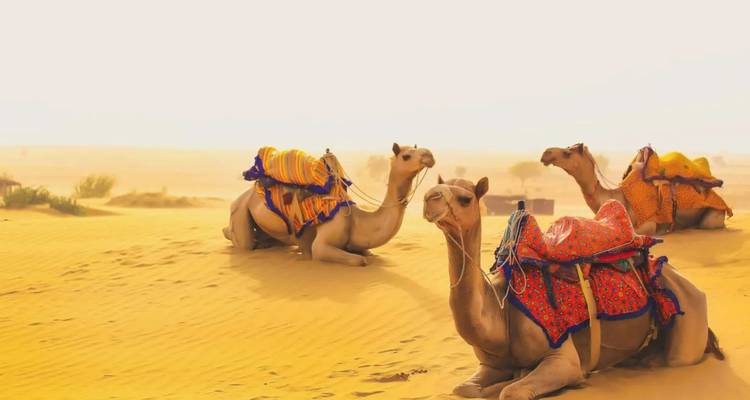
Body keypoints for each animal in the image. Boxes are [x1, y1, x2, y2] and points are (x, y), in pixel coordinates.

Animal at [224, 143, 435, 266]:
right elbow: (360, 260)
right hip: (240, 210)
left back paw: (267, 243)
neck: (357, 220)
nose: (429, 155)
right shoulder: (324, 243)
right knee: (241, 240)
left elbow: (368, 253)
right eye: (406, 156)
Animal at [422, 176, 722, 400]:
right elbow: (463, 388)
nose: (429, 198)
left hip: (688, 320)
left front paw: (565, 380)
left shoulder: (562, 356)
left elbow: (513, 391)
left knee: (674, 358)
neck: (500, 312)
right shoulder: (489, 364)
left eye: (465, 198)